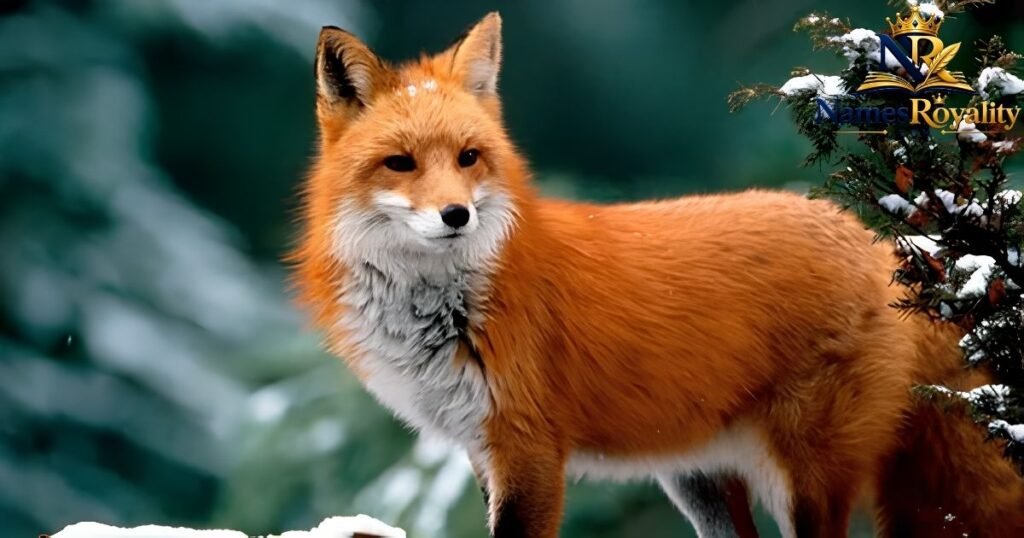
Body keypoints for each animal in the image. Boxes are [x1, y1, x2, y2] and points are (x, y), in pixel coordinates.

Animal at [290, 12, 1024, 538]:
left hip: (803, 478)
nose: (456, 215)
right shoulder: (480, 448)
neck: (446, 307)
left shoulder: (530, 451)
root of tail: (885, 245)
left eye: (469, 157)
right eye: (401, 163)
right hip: (701, 482)